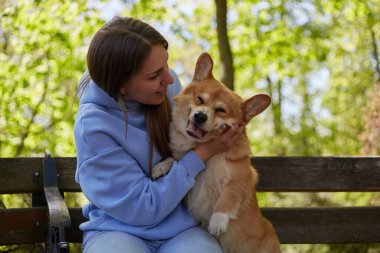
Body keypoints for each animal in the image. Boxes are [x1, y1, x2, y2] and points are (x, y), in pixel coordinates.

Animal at [153, 52, 280, 252]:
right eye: (199, 100)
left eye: (221, 110)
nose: (200, 116)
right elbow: (176, 159)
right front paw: (161, 166)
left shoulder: (238, 178)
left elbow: (226, 200)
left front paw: (217, 221)